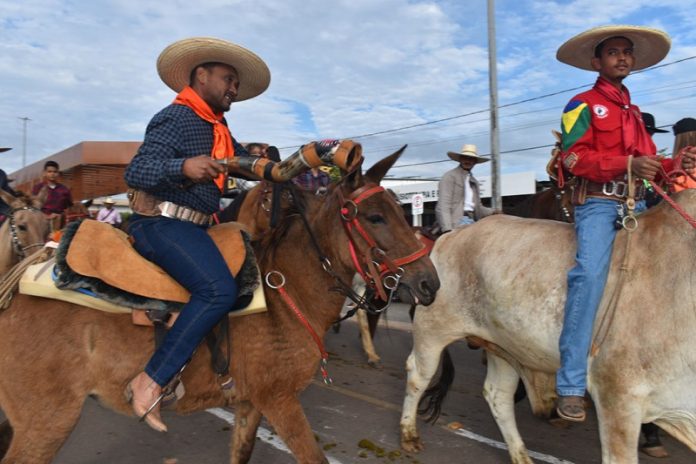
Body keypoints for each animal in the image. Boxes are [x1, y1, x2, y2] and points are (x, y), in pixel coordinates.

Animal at [0, 147, 439, 464]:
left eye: (401, 211)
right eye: (374, 217)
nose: (429, 283)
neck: (287, 292)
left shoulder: (250, 403)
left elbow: (241, 453)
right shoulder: (280, 400)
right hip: (47, 421)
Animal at [400, 189, 696, 463]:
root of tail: (451, 235)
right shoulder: (617, 397)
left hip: (502, 346)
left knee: (498, 395)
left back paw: (521, 455)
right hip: (433, 328)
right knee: (418, 375)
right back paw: (408, 435)